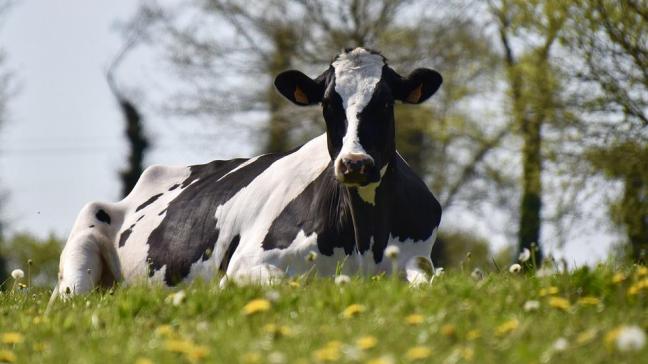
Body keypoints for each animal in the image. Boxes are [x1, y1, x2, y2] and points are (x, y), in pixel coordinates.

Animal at [54, 47, 440, 298]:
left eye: (386, 102)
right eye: (329, 104)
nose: (354, 163)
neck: (365, 239)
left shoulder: (418, 259)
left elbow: (429, 280)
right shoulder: (244, 265)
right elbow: (286, 283)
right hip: (80, 253)